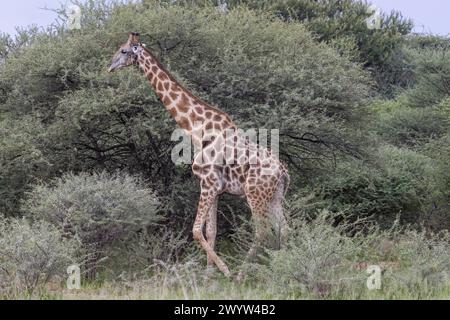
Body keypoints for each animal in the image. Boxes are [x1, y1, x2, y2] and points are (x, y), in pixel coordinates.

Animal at [108, 31, 288, 278]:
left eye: (124, 50)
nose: (110, 66)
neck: (197, 129)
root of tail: (283, 172)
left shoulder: (208, 183)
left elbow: (195, 230)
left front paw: (224, 271)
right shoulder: (216, 188)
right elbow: (211, 231)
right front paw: (208, 275)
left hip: (255, 194)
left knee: (262, 230)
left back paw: (242, 273)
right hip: (276, 196)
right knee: (284, 229)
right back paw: (282, 267)